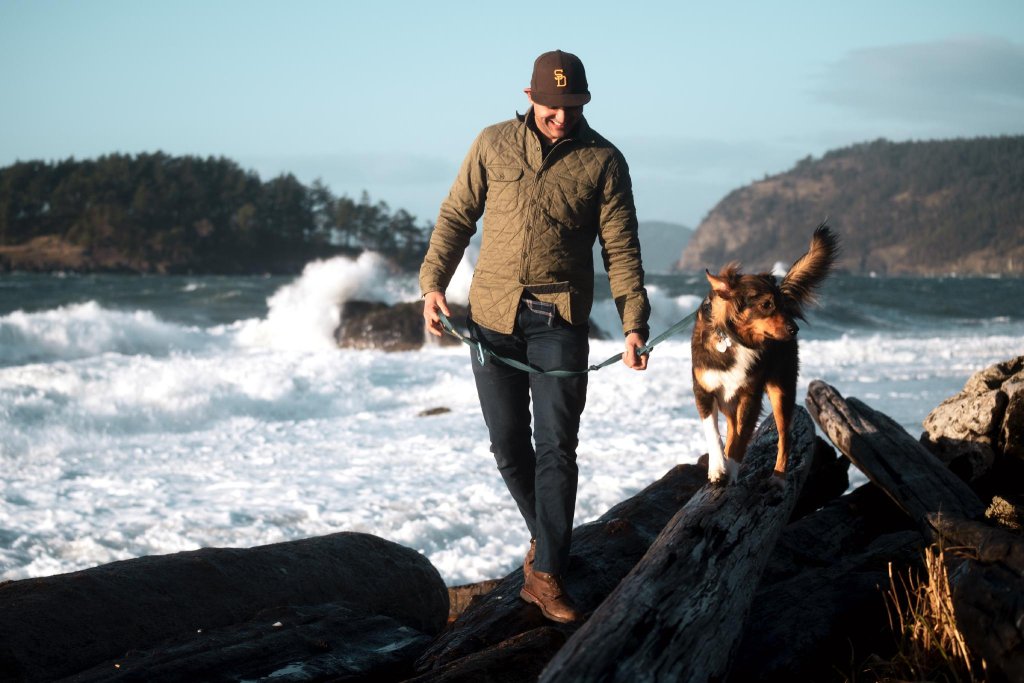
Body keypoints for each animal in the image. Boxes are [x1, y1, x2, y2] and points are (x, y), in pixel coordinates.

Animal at [688, 224, 839, 485]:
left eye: (782, 305)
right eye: (767, 304)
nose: (794, 329)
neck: (734, 340)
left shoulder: (751, 394)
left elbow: (741, 439)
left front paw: (732, 469)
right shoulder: (704, 390)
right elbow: (714, 433)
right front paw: (717, 468)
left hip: (782, 390)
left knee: (784, 435)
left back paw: (778, 475)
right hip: (730, 400)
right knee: (732, 428)